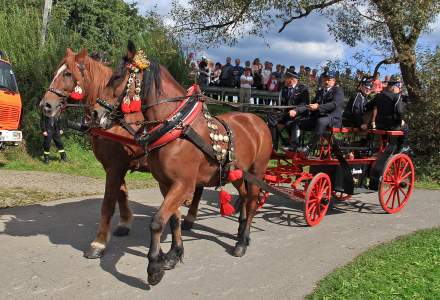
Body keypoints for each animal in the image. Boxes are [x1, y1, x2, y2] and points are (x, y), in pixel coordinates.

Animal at [39, 48, 205, 258]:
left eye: (68, 73)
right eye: (56, 72)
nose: (45, 105)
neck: (115, 122)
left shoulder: (116, 166)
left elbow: (108, 203)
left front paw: (99, 242)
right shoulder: (114, 166)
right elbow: (122, 193)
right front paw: (125, 223)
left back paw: (190, 215)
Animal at [93, 42, 272, 286]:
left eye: (117, 77)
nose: (96, 112)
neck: (177, 126)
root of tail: (258, 120)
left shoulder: (182, 184)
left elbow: (158, 221)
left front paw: (154, 267)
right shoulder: (166, 184)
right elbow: (174, 220)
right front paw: (173, 255)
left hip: (257, 171)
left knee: (252, 202)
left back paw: (242, 242)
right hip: (237, 173)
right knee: (244, 197)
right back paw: (241, 230)